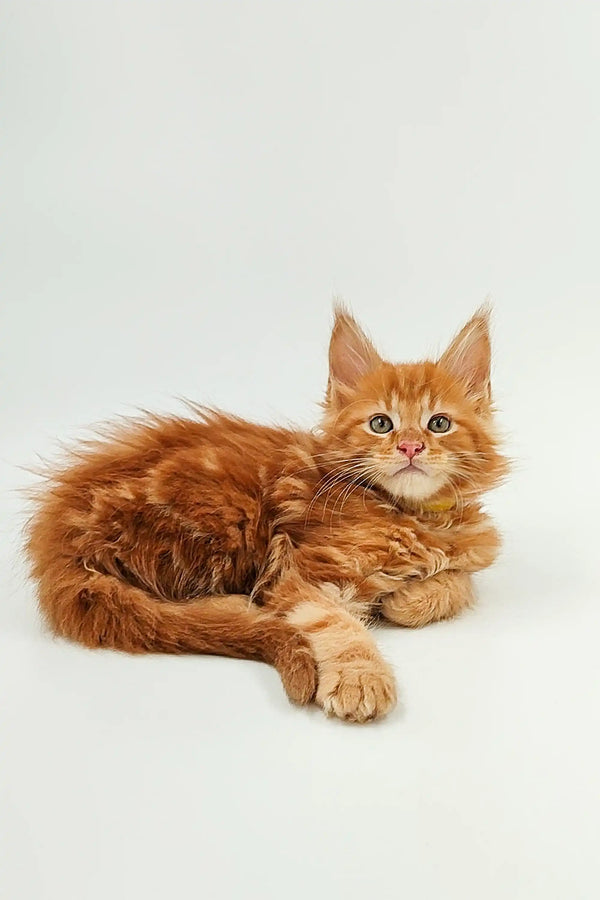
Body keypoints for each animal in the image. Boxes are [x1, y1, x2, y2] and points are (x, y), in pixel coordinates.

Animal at [27, 310, 506, 724]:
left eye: (439, 423)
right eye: (381, 424)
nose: (410, 446)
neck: (412, 514)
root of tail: (59, 534)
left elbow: (460, 583)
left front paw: (407, 599)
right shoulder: (300, 570)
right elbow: (336, 622)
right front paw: (360, 676)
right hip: (225, 518)